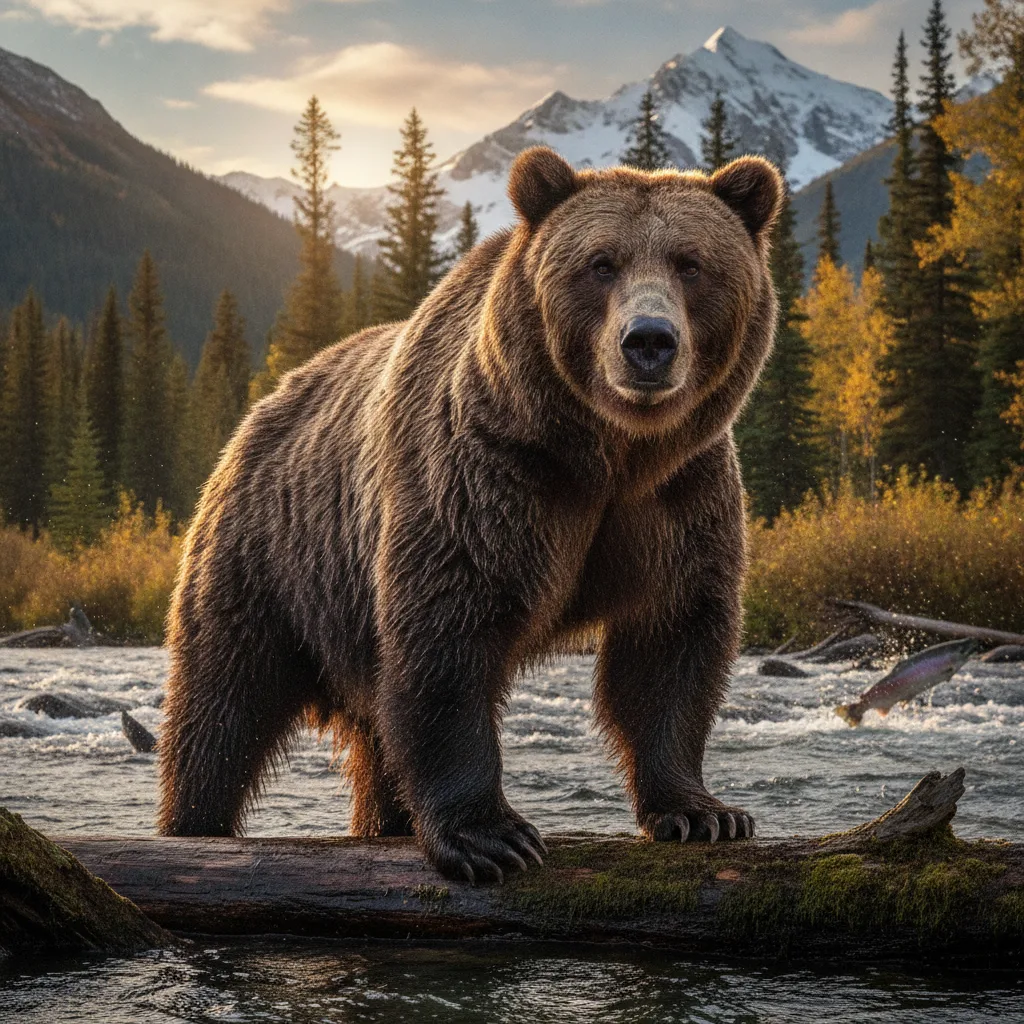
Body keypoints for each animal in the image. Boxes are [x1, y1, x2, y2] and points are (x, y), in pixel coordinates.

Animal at [157, 146, 783, 884]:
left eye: (691, 263)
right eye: (601, 263)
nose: (649, 342)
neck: (606, 455)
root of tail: (260, 411)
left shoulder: (678, 497)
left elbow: (672, 639)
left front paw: (703, 812)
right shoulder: (485, 476)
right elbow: (448, 637)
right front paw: (490, 837)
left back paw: (387, 823)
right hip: (270, 558)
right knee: (223, 703)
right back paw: (193, 824)